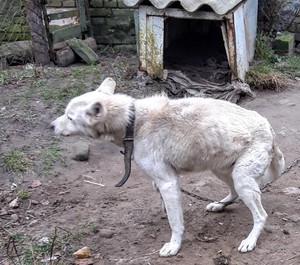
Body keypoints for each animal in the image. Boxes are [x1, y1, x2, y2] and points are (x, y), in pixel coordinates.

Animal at [52, 76, 286, 256]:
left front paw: (174, 246)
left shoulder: (168, 182)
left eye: (69, 117)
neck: (132, 122)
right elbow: (168, 208)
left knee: (261, 215)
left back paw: (250, 241)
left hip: (241, 178)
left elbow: (175, 222)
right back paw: (220, 205)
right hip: (221, 170)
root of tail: (269, 127)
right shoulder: (160, 181)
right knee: (233, 193)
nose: (51, 125)